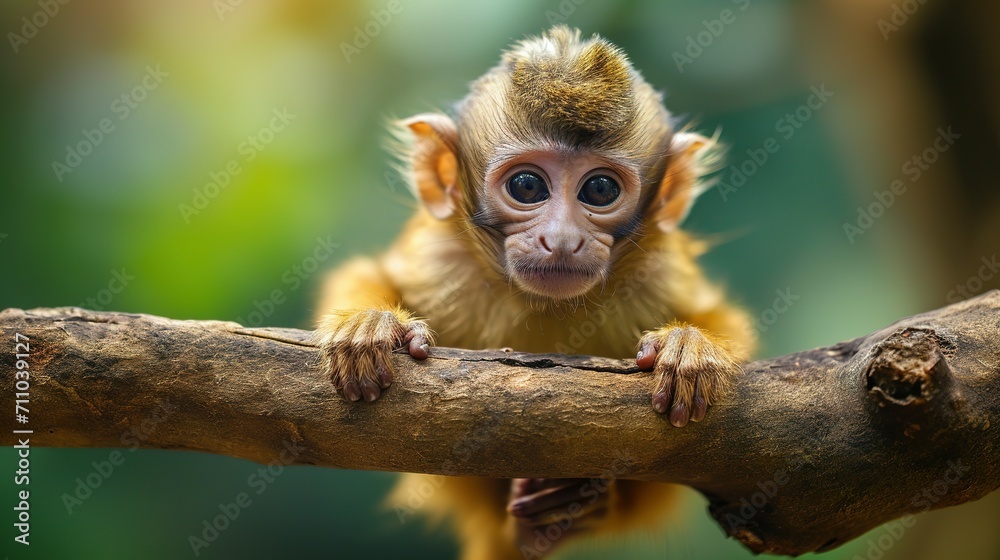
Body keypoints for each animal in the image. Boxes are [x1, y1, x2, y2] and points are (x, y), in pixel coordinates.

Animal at [315, 26, 755, 560]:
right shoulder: (438, 261)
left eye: (600, 190)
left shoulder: (659, 272)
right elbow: (371, 275)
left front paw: (689, 346)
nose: (562, 239)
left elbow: (721, 319)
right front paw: (371, 327)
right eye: (527, 186)